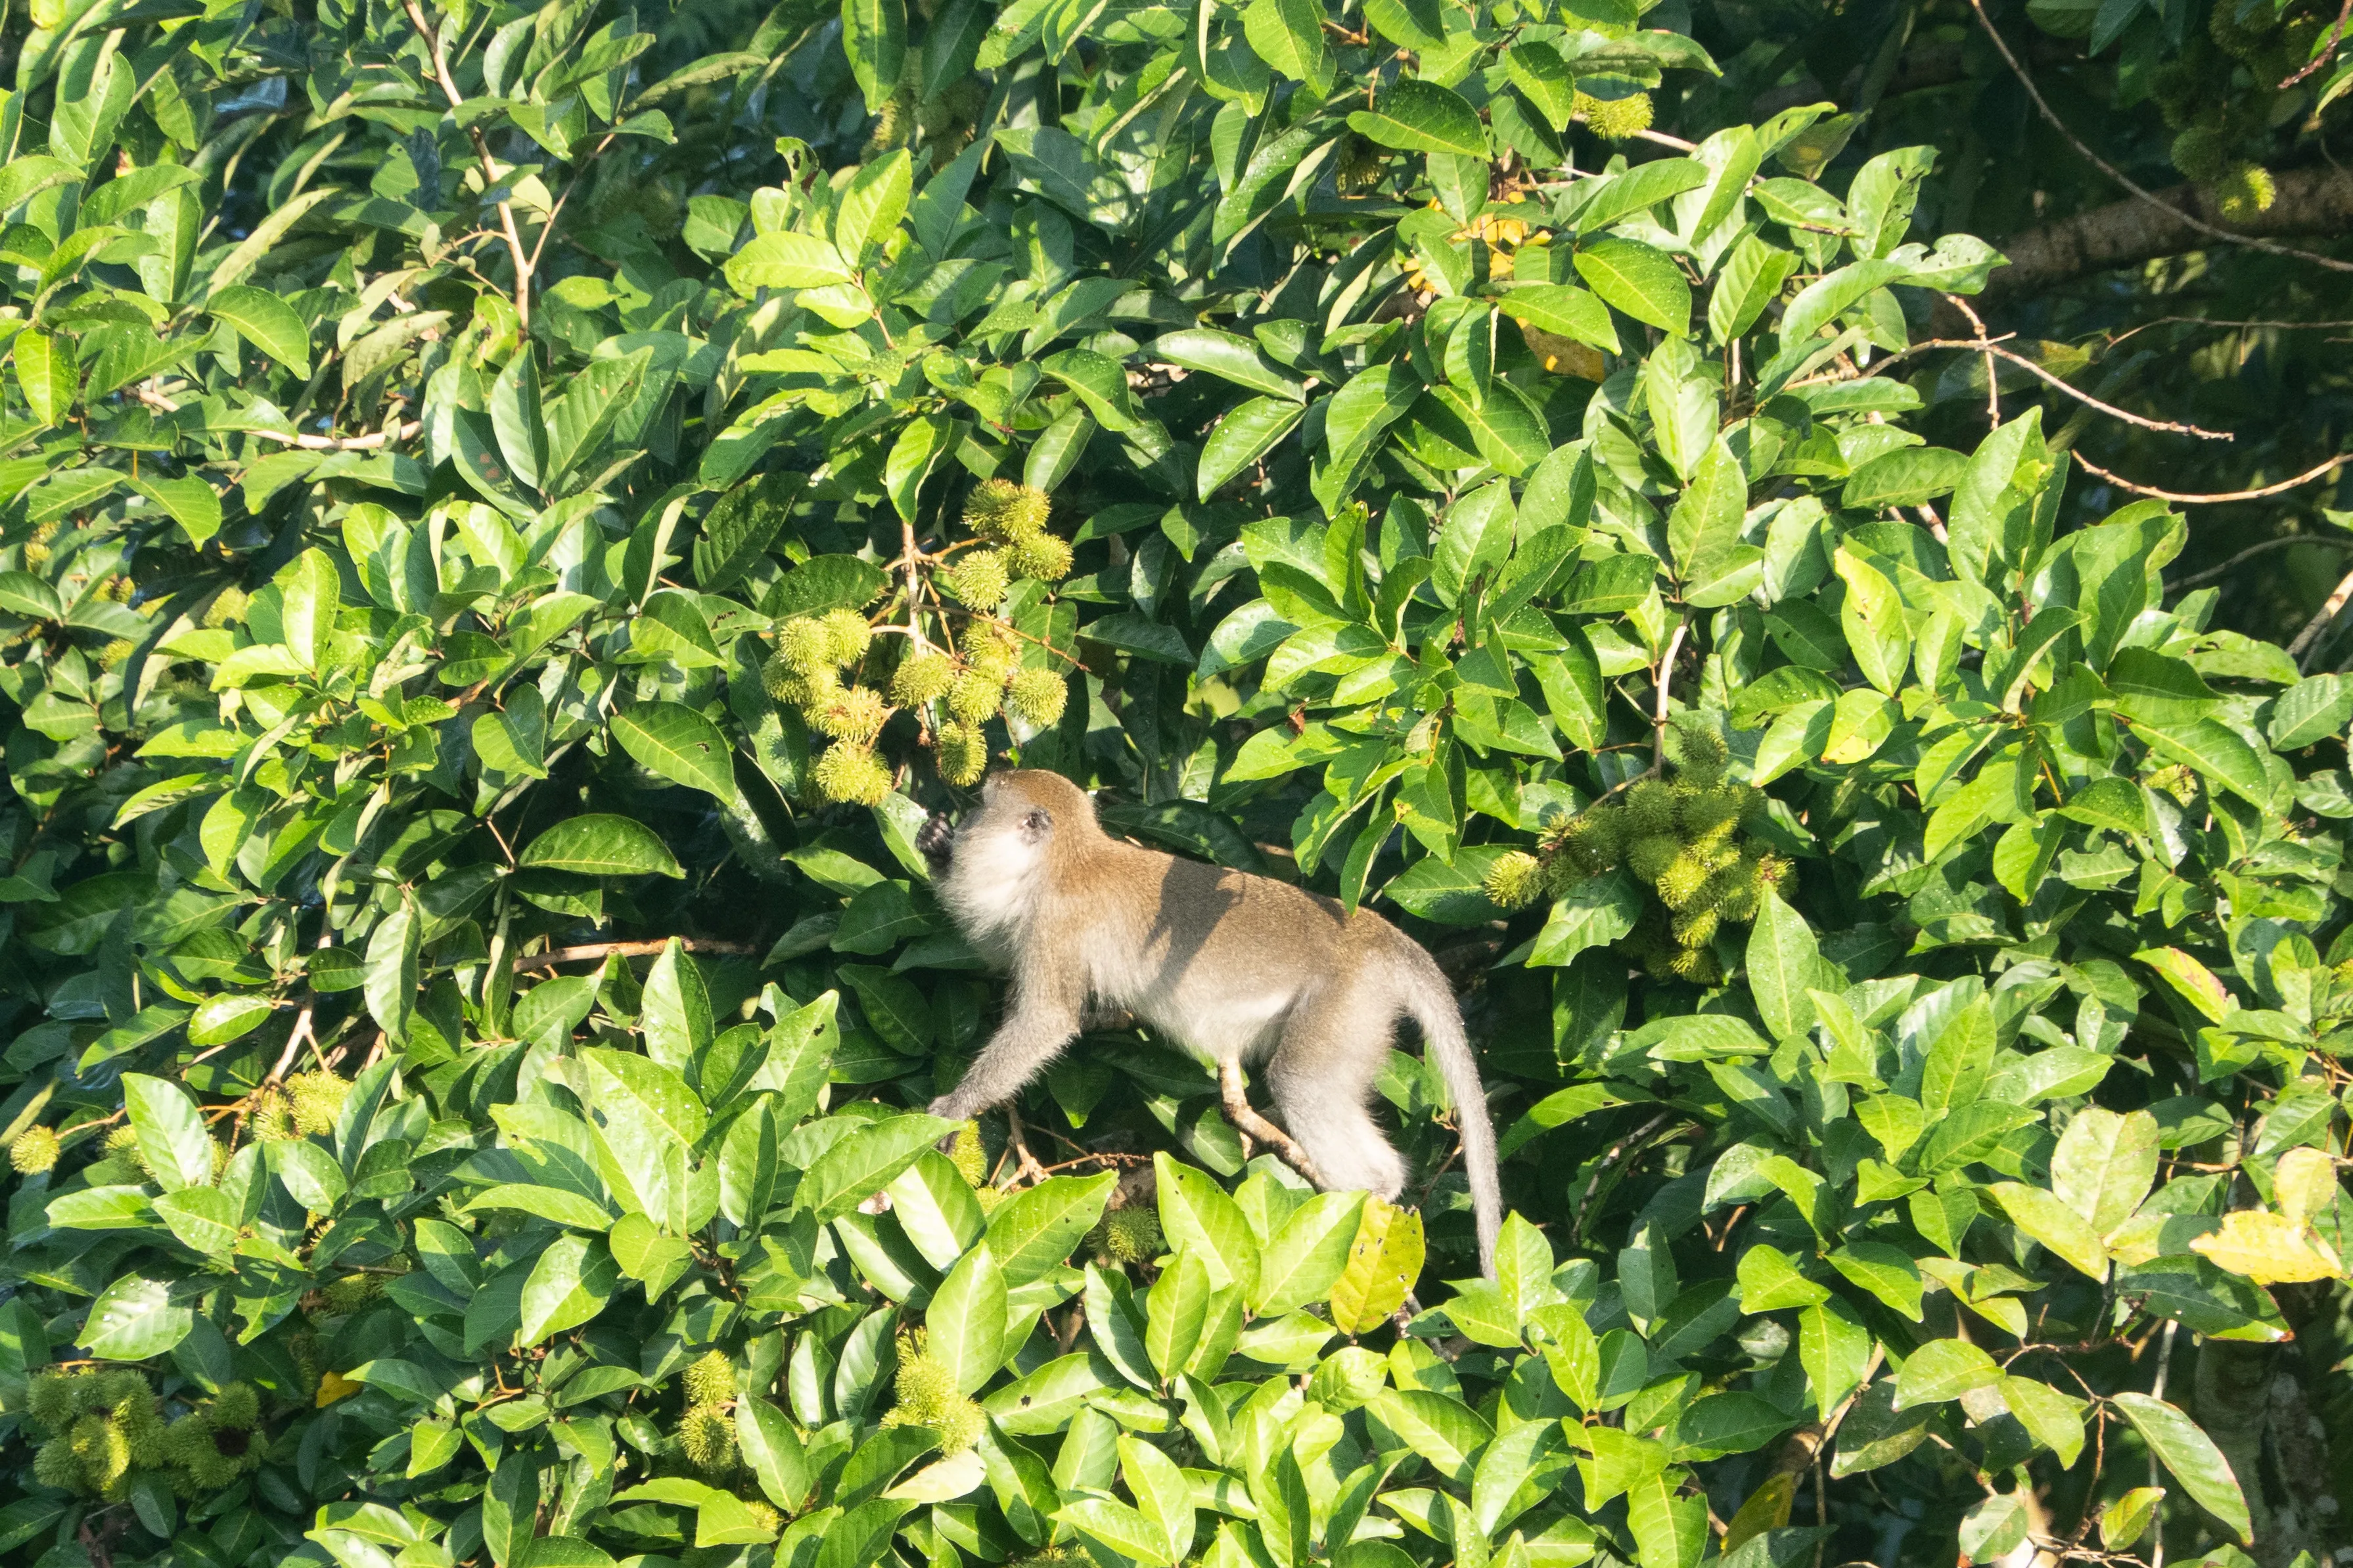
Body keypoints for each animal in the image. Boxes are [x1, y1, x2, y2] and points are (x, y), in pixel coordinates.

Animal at [919, 769, 1502, 1277]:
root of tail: (1379, 936)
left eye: (981, 804)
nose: (964, 821)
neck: (1069, 858)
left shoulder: (1055, 919)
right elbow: (997, 953)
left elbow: (1047, 1018)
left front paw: (954, 1108)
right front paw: (934, 846)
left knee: (1301, 1081)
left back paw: (1367, 1192)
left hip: (1346, 1000)